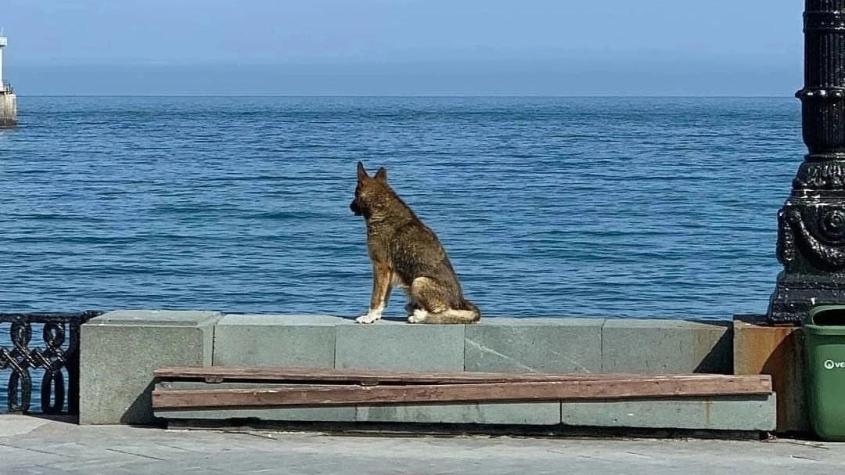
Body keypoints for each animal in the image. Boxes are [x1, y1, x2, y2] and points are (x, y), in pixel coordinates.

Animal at [350, 162, 482, 326]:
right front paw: (376, 315)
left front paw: (369, 316)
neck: (381, 205)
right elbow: (384, 298)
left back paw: (419, 316)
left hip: (419, 281)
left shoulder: (380, 266)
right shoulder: (388, 272)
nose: (349, 206)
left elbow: (376, 297)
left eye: (355, 194)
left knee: (445, 313)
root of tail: (461, 301)